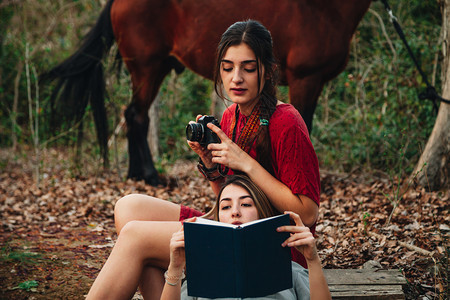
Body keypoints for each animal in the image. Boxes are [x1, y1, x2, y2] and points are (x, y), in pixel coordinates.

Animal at [41, 0, 372, 185]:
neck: (322, 9)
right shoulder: (307, 79)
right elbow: (305, 124)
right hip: (148, 66)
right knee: (137, 115)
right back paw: (150, 175)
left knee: (133, 114)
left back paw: (137, 173)